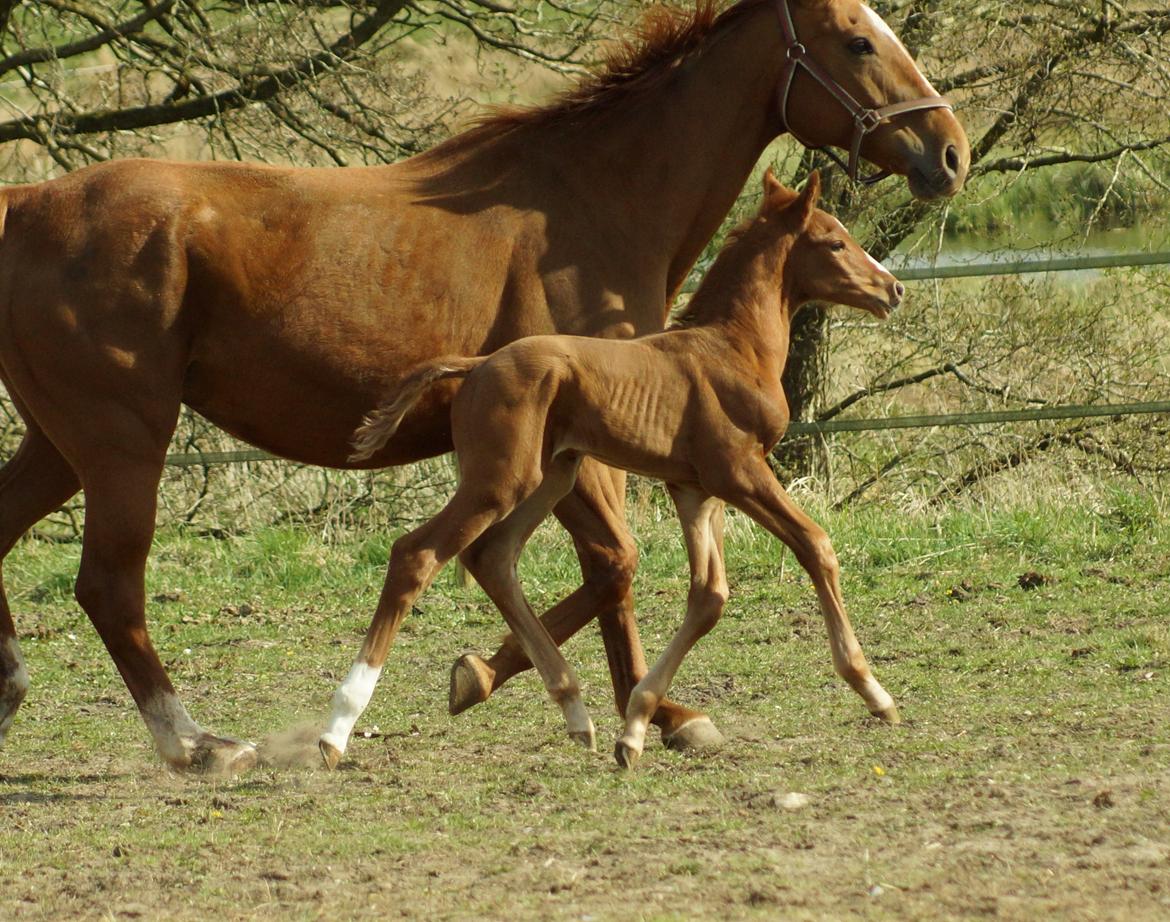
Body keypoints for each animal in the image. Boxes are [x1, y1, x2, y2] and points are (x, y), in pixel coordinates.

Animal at [327, 169, 903, 767]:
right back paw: (336, 728)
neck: (733, 349)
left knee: (493, 557)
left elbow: (709, 596)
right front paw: (874, 691)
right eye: (834, 242)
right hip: (498, 483)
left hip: (551, 476)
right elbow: (816, 545)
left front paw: (638, 726)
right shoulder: (740, 472)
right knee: (416, 555)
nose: (893, 290)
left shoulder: (694, 489)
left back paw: (572, 710)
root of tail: (477, 365)